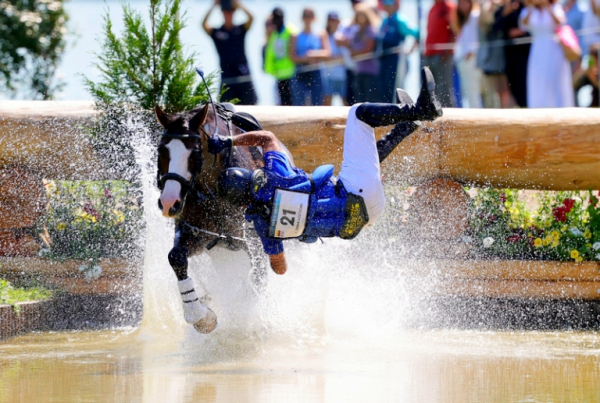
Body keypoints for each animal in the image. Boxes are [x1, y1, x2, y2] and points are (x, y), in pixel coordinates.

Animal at [154, 102, 278, 332]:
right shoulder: (196, 234)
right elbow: (176, 257)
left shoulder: (253, 241)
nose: (168, 202)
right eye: (161, 151)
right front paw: (200, 316)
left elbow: (257, 278)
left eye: (194, 153)